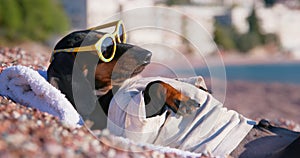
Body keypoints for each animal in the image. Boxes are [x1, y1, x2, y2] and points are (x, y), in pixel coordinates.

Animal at [47, 29, 300, 157]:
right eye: (105, 48)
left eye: (115, 38)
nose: (148, 54)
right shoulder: (133, 127)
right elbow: (154, 85)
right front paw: (180, 99)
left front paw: (192, 90)